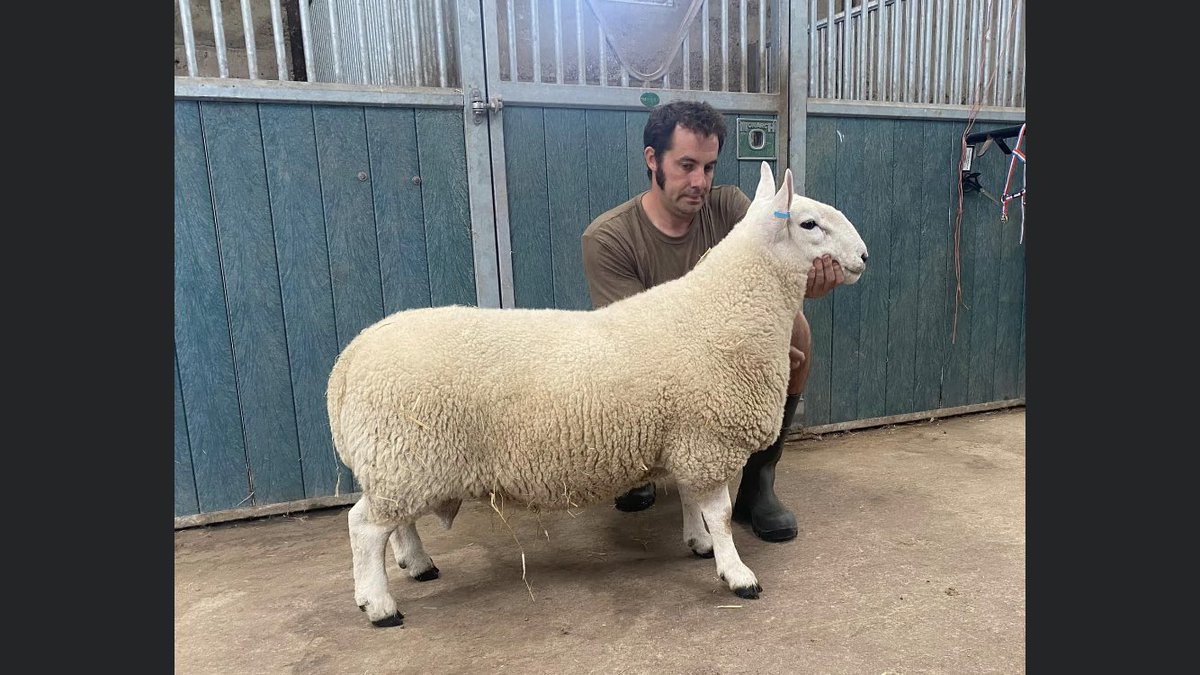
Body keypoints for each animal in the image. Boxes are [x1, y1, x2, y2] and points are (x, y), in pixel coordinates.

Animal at [326, 161, 869, 627]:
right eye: (809, 224)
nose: (864, 256)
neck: (724, 310)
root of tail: (350, 357)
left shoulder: (684, 436)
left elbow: (692, 499)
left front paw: (698, 542)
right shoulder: (707, 437)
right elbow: (718, 510)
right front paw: (736, 574)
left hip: (401, 462)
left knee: (395, 522)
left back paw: (417, 563)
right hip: (407, 452)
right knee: (364, 527)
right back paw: (379, 605)